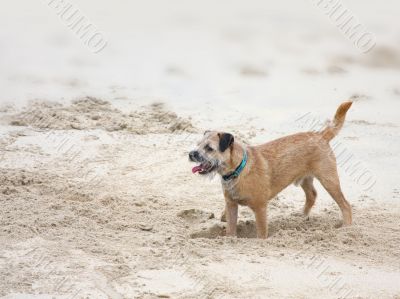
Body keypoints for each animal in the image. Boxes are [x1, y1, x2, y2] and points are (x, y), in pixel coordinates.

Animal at [190, 102, 354, 240]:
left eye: (209, 148)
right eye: (198, 144)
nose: (191, 154)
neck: (238, 170)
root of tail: (321, 135)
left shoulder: (260, 208)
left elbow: (262, 233)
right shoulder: (231, 205)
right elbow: (231, 229)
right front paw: (230, 240)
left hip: (329, 181)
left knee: (345, 205)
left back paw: (346, 227)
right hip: (305, 179)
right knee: (312, 195)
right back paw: (301, 217)